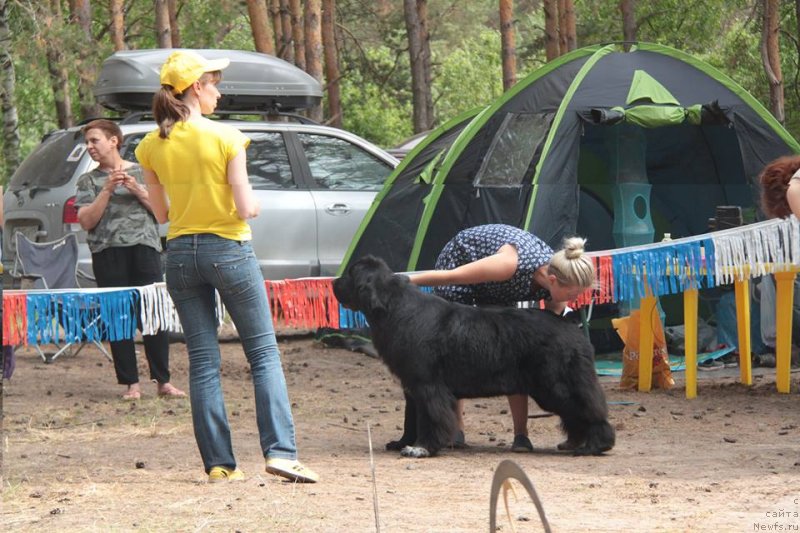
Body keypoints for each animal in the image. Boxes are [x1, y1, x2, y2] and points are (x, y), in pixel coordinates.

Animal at [334, 256, 616, 456]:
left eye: (350, 274)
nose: (333, 281)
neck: (394, 309)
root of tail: (568, 324)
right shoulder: (411, 386)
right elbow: (410, 418)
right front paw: (402, 442)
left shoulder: (427, 386)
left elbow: (430, 417)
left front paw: (421, 448)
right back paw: (575, 442)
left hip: (555, 384)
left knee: (588, 409)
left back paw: (595, 445)